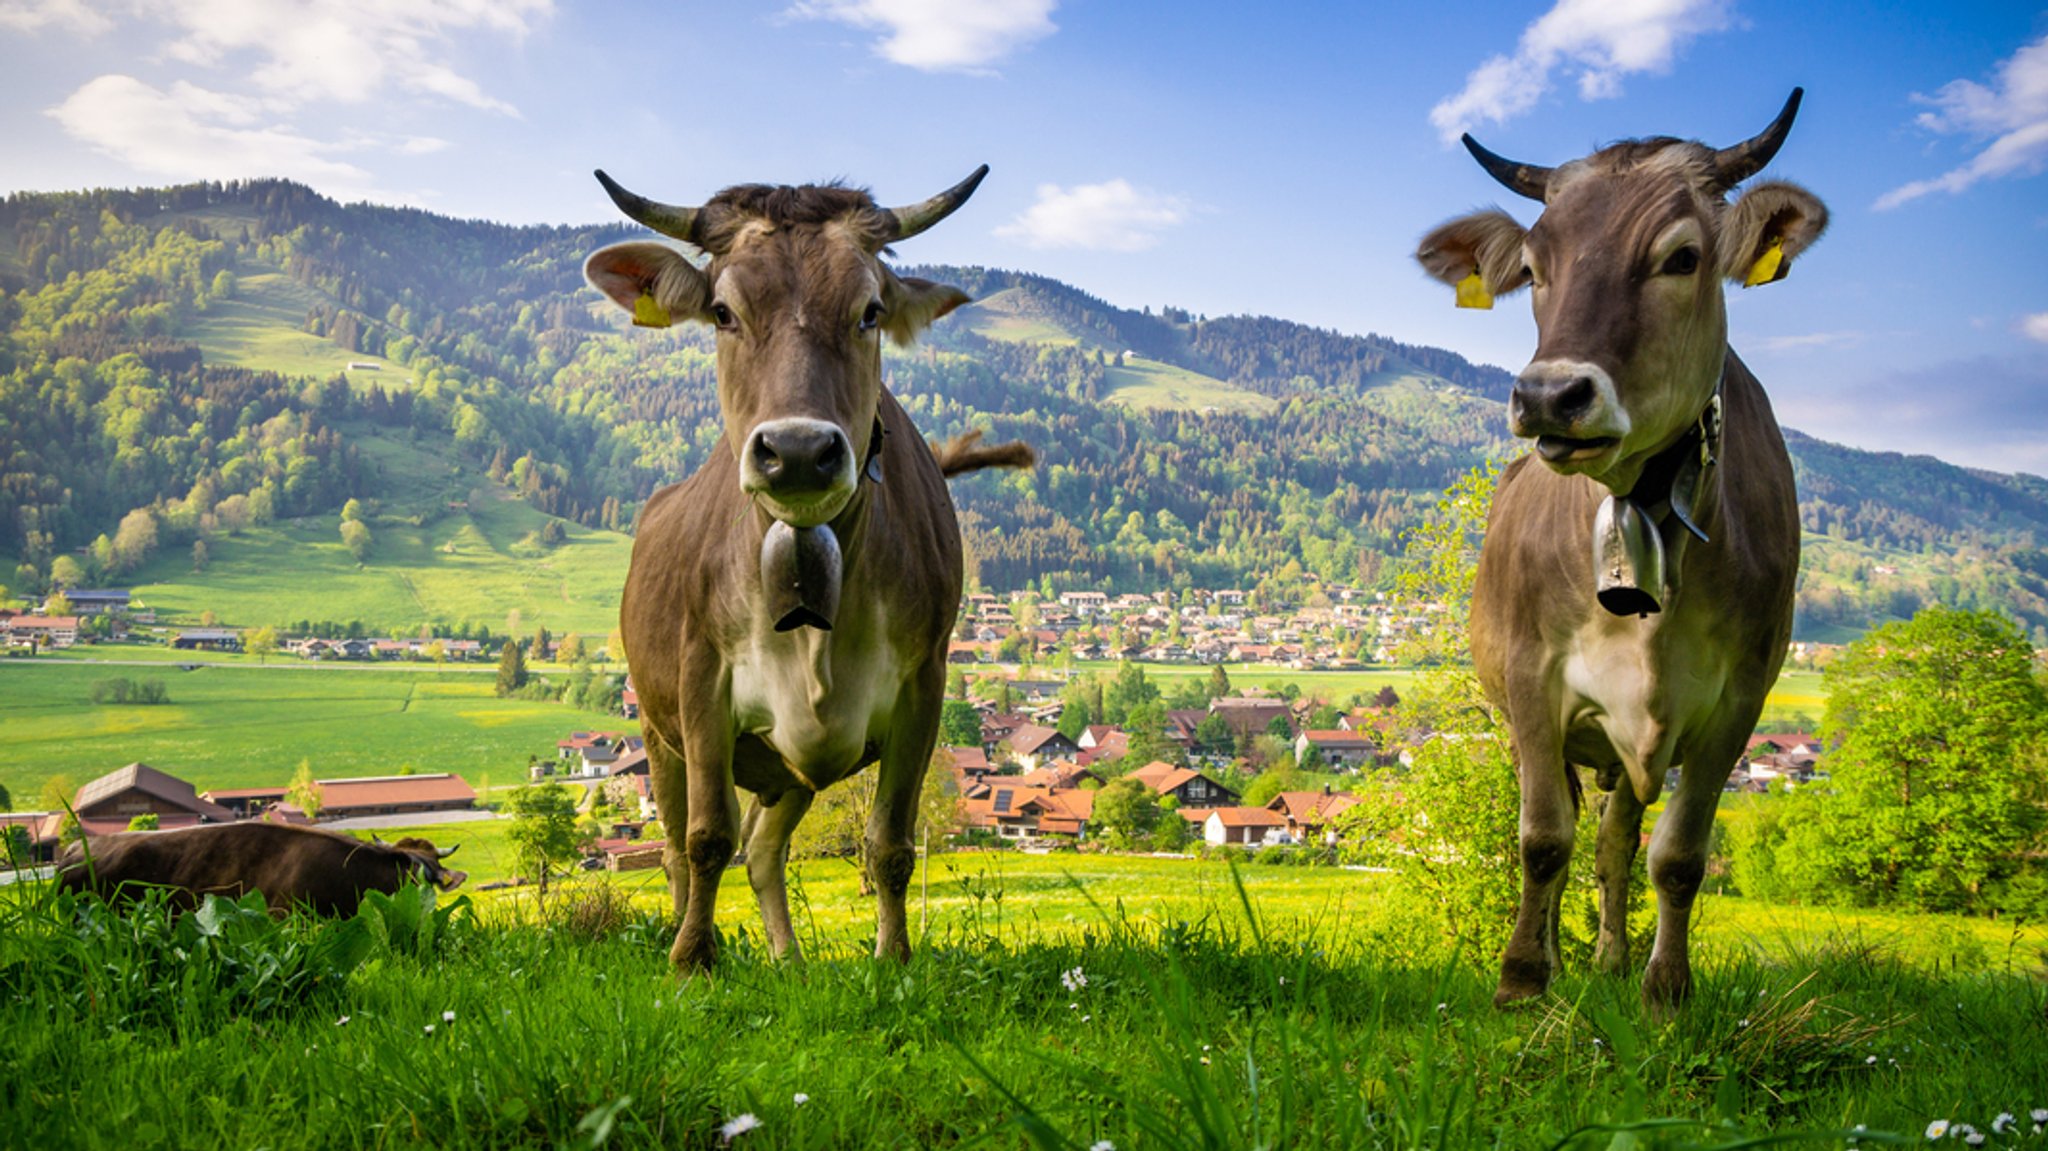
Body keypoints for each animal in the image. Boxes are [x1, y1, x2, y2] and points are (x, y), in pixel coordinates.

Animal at [589, 163, 1040, 966]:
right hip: (656, 728)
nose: (798, 450)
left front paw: (894, 961)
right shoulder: (701, 680)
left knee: (766, 850)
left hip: (787, 769)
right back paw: (687, 934)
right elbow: (706, 838)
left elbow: (889, 843)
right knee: (678, 848)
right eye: (723, 312)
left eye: (869, 311)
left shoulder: (924, 683)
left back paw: (789, 961)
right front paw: (692, 961)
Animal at [1417, 89, 1835, 1003]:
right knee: (1574, 830)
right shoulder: (1532, 680)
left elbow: (1676, 856)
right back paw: (1560, 955)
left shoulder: (1739, 700)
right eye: (1533, 269)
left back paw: (1608, 959)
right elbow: (1542, 838)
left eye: (1682, 257)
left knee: (1614, 837)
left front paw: (1665, 989)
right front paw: (1522, 978)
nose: (1549, 395)